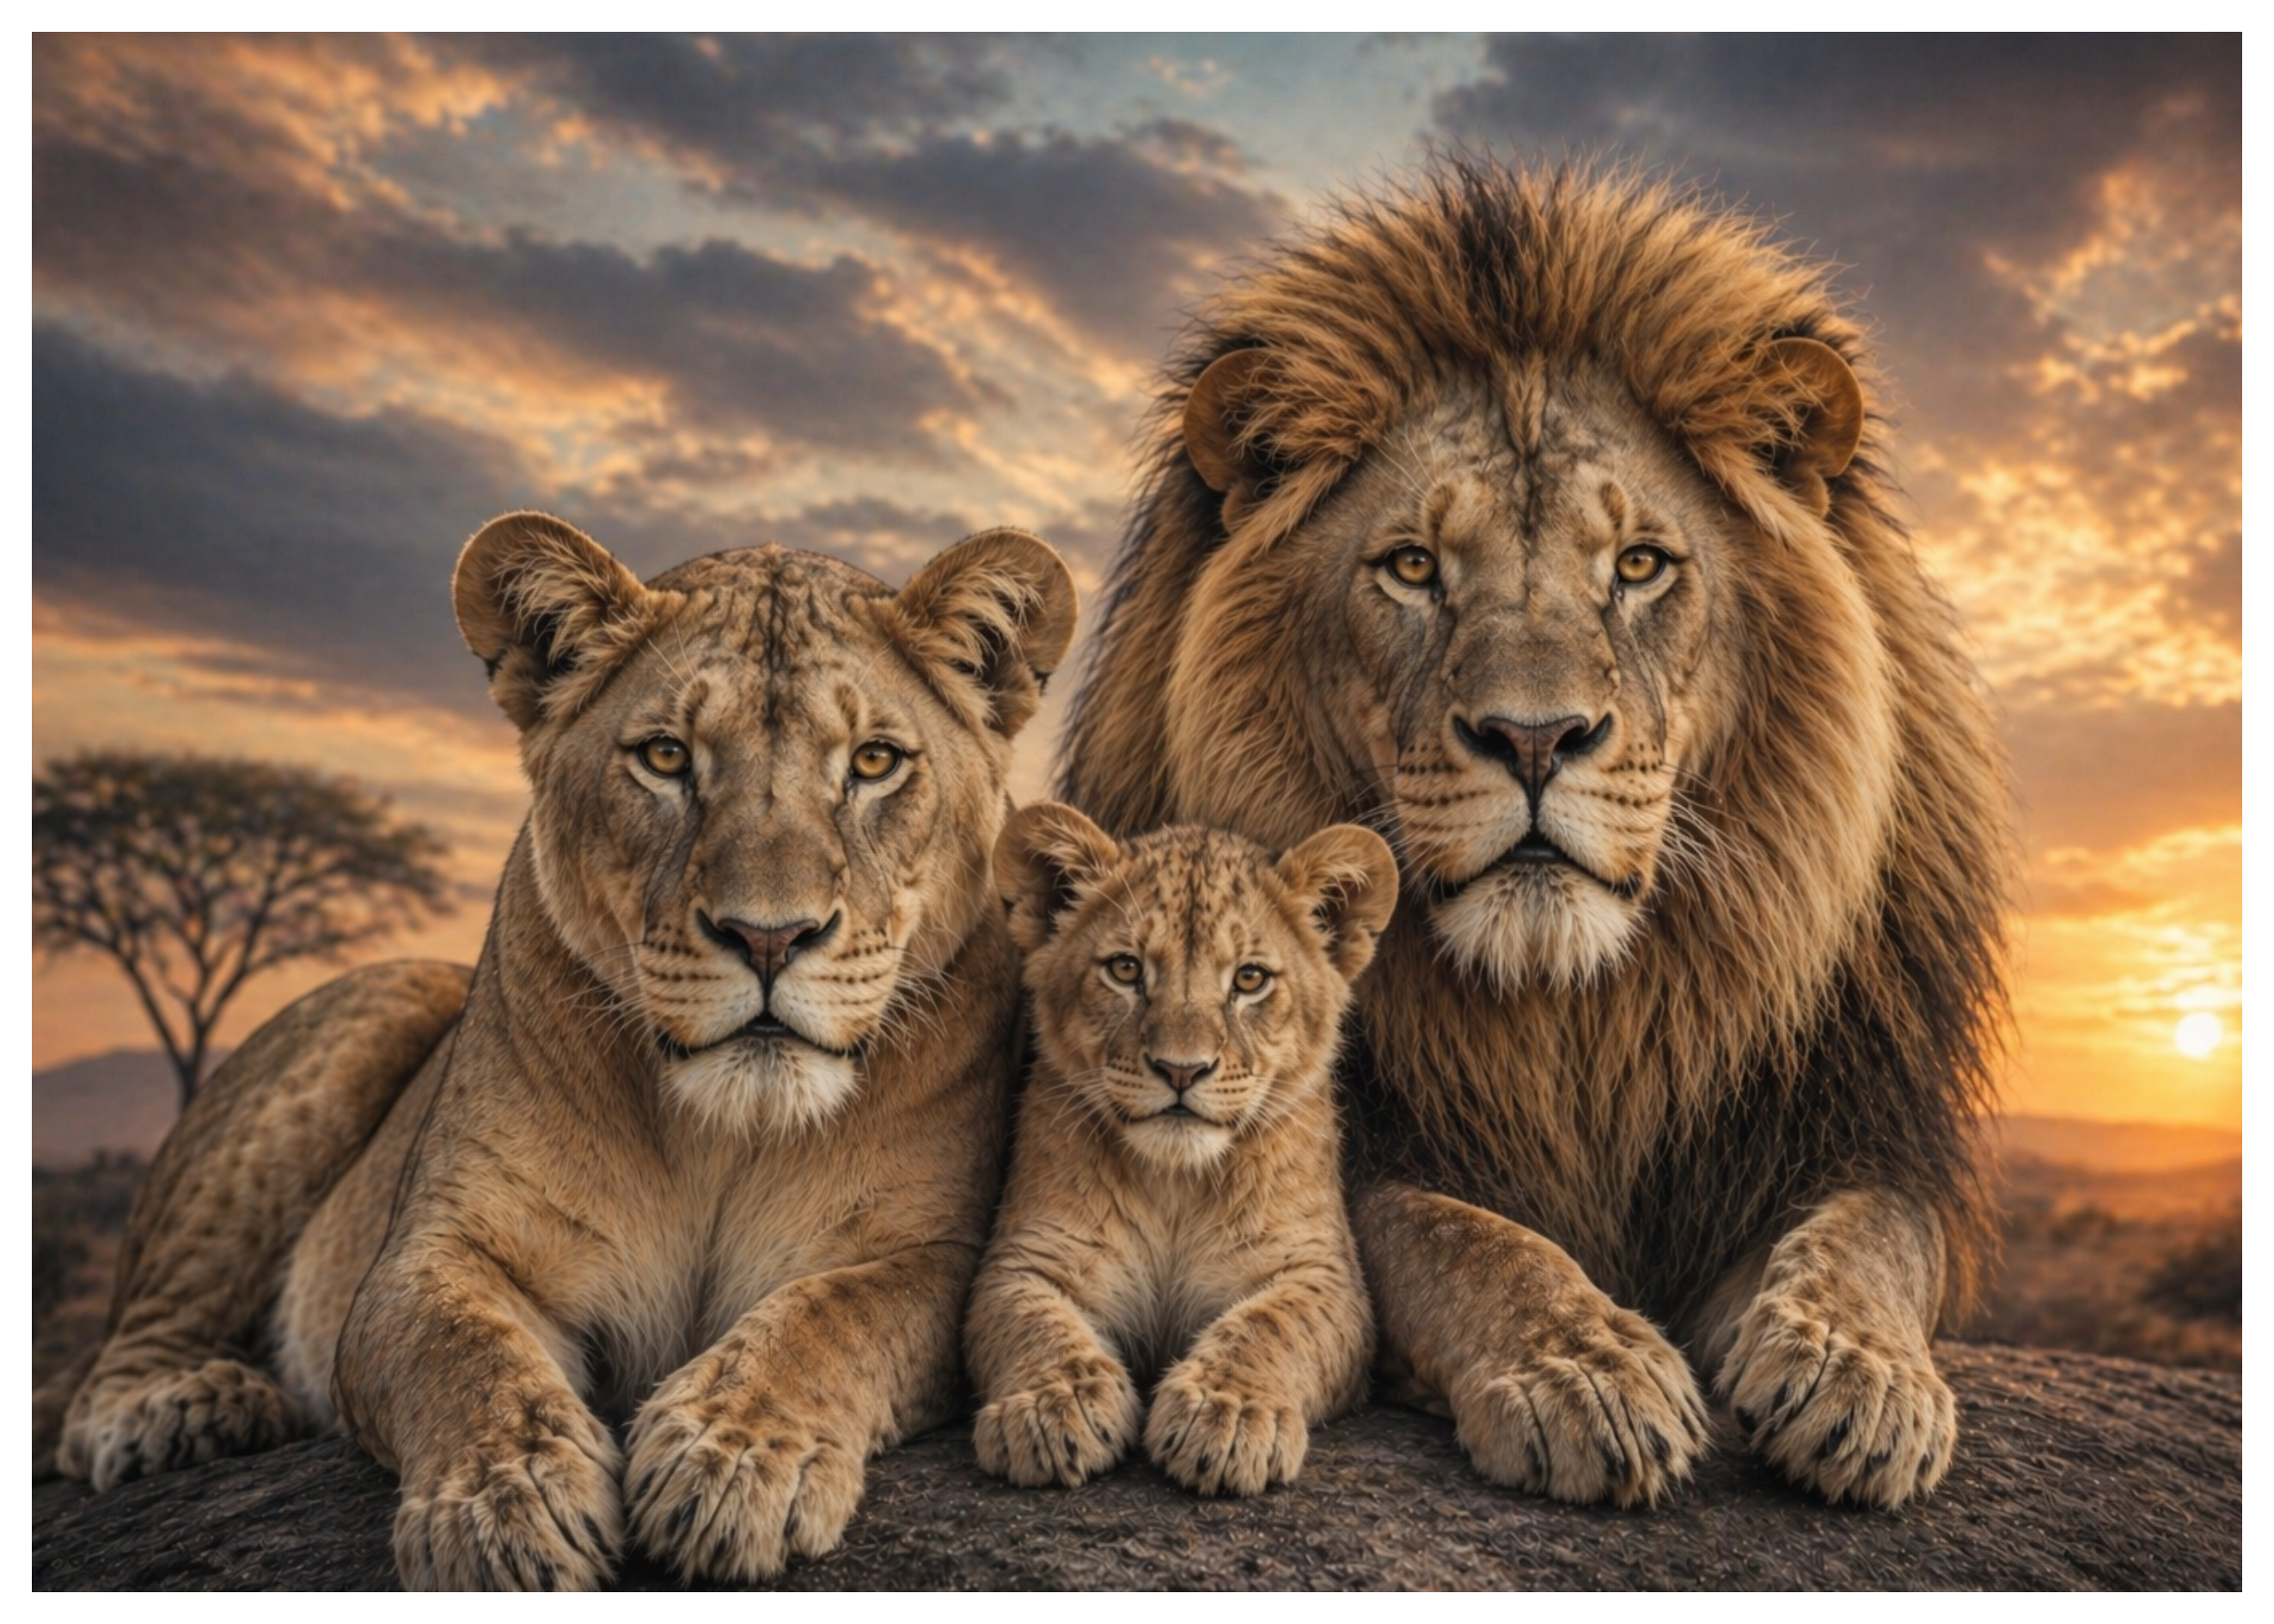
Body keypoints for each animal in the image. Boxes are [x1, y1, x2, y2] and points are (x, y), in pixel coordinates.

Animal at [38, 511, 1077, 1587]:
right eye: (665, 756)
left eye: (874, 763)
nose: (768, 937)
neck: (722, 1136)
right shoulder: (435, 1250)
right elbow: (464, 1352)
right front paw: (507, 1504)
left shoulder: (935, 1251)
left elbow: (831, 1318)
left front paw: (733, 1458)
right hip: (368, 1016)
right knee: (110, 1372)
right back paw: (183, 1410)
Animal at [966, 807, 1394, 1496]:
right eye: (1125, 970)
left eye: (1249, 979)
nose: (1181, 1070)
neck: (1175, 1183)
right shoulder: (1024, 1260)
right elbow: (1033, 1323)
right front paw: (1056, 1405)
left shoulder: (1324, 1275)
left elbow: (1269, 1325)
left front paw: (1228, 1414)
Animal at [1057, 159, 2012, 1510]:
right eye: (1411, 567)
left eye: (1640, 564)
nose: (1534, 737)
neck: (1574, 1025)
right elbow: (1452, 1235)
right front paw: (1586, 1369)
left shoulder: (1850, 1115)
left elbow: (1873, 1234)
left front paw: (1856, 1371)